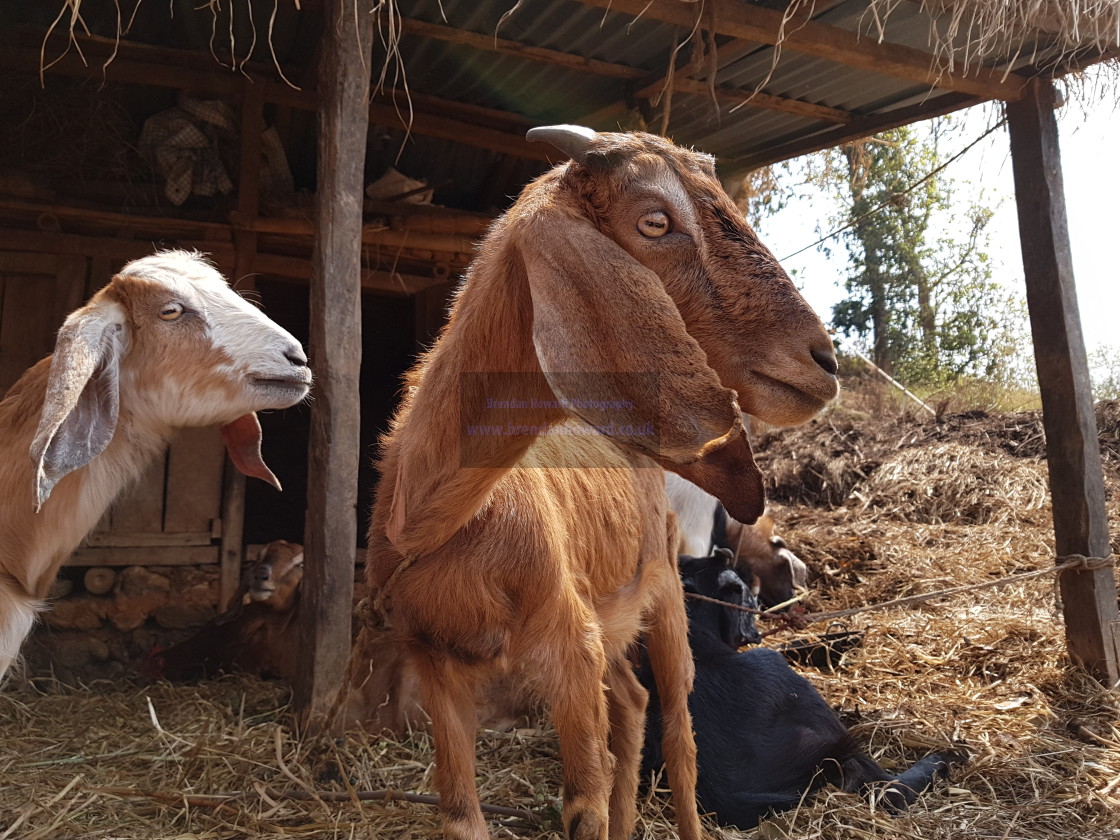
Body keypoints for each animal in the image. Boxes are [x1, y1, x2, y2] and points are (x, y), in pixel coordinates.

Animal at [358, 126, 842, 840]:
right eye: (655, 221)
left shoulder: (570, 651)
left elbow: (584, 798)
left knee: (679, 738)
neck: (439, 519)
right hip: (613, 618)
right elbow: (462, 812)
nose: (824, 361)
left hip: (666, 597)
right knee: (634, 705)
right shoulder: (435, 662)